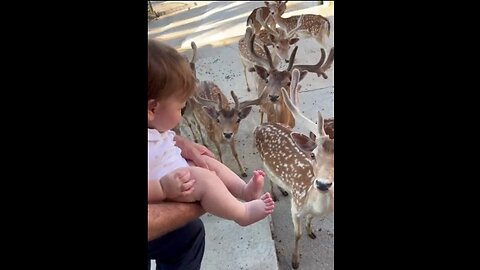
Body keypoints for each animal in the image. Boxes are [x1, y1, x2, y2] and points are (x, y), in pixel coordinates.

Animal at [255, 68, 334, 268]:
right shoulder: (296, 206)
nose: (322, 184)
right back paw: (275, 193)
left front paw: (311, 231)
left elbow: (311, 219)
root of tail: (260, 125)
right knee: (267, 175)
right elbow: (297, 235)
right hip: (262, 158)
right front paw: (295, 261)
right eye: (313, 155)